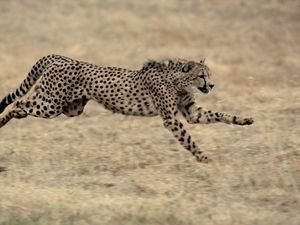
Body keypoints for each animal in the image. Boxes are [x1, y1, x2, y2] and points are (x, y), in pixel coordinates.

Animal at [0, 55, 253, 163]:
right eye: (201, 76)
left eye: (209, 75)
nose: (211, 85)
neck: (177, 81)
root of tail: (60, 57)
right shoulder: (171, 119)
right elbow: (188, 139)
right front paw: (202, 157)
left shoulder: (192, 113)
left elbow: (220, 115)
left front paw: (244, 120)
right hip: (50, 104)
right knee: (18, 102)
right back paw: (1, 121)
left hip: (68, 108)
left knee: (22, 105)